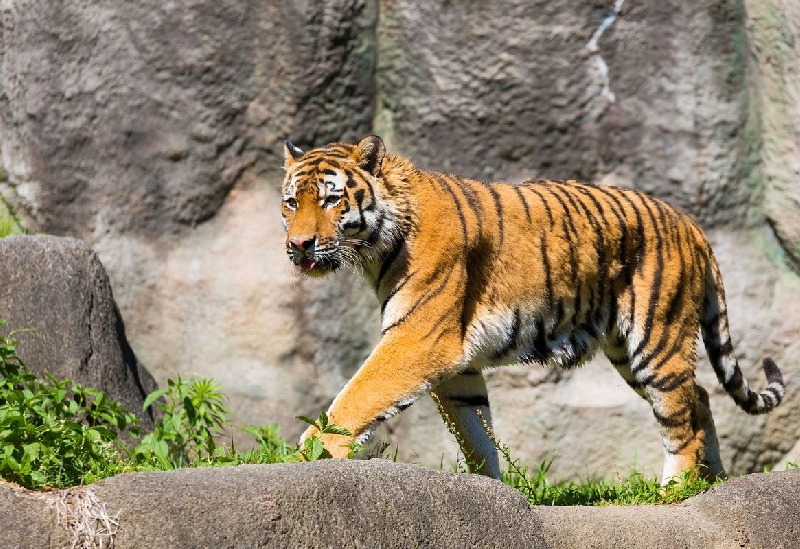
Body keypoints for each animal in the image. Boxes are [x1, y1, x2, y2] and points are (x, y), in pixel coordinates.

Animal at [282, 135, 788, 482]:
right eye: (290, 203)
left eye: (330, 199)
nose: (298, 245)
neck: (377, 246)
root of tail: (691, 223)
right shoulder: (456, 363)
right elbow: (475, 432)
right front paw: (491, 488)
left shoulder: (419, 337)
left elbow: (356, 397)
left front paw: (309, 455)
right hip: (628, 351)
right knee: (699, 398)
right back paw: (713, 481)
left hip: (655, 341)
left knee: (681, 421)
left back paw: (675, 493)